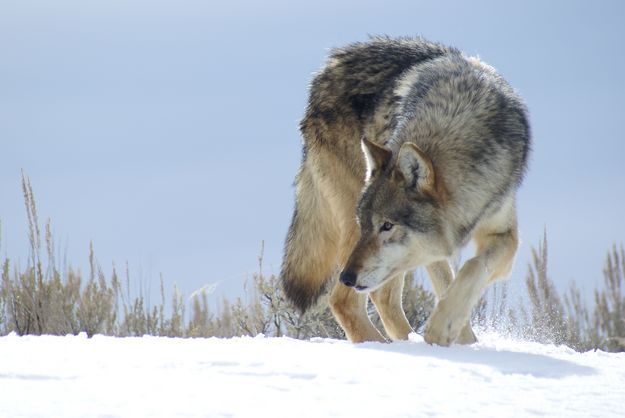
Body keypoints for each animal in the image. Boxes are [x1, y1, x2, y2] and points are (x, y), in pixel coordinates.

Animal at [280, 37, 528, 346]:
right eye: (370, 224)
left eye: (387, 225)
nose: (348, 276)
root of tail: (325, 69)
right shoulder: (433, 243)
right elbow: (454, 278)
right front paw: (446, 334)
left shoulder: (501, 232)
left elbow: (468, 272)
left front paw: (451, 333)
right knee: (344, 300)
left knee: (379, 297)